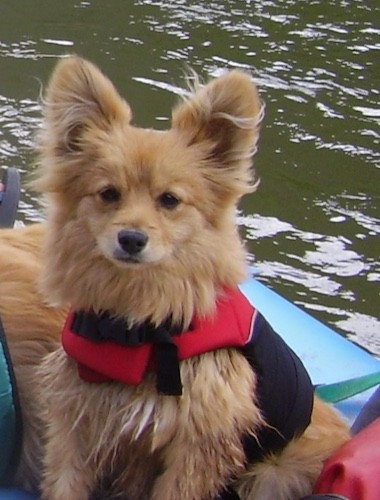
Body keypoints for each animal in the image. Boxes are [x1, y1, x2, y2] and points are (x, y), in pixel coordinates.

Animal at [0, 56, 350, 498]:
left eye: (170, 200)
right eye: (108, 193)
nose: (132, 239)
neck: (137, 327)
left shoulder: (195, 445)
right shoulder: (77, 421)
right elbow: (66, 484)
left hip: (273, 472)